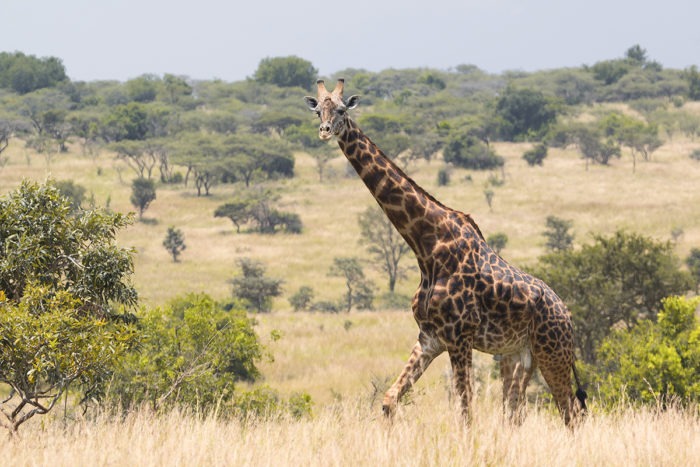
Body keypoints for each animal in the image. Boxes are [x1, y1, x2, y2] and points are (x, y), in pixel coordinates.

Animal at [304, 78, 584, 426]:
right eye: (318, 110)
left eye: (342, 110)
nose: (325, 130)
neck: (426, 248)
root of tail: (568, 316)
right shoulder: (429, 337)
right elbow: (389, 400)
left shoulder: (459, 336)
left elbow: (465, 412)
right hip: (520, 355)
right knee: (517, 413)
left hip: (553, 353)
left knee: (571, 412)